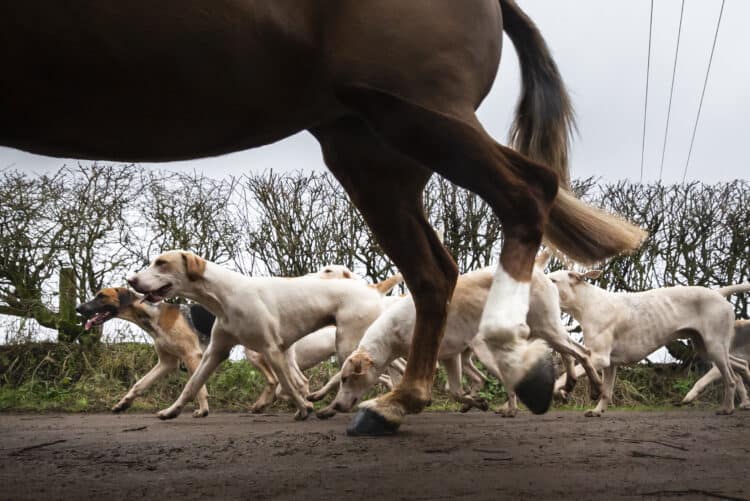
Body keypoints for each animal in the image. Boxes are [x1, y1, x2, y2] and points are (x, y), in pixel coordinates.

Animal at [1, 0, 648, 434]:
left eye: (159, 263)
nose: (135, 283)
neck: (216, 299)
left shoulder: (268, 347)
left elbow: (286, 380)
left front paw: (298, 406)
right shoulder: (215, 351)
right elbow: (184, 383)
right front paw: (170, 407)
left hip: (415, 114)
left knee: (529, 194)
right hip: (372, 151)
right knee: (434, 272)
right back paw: (408, 398)